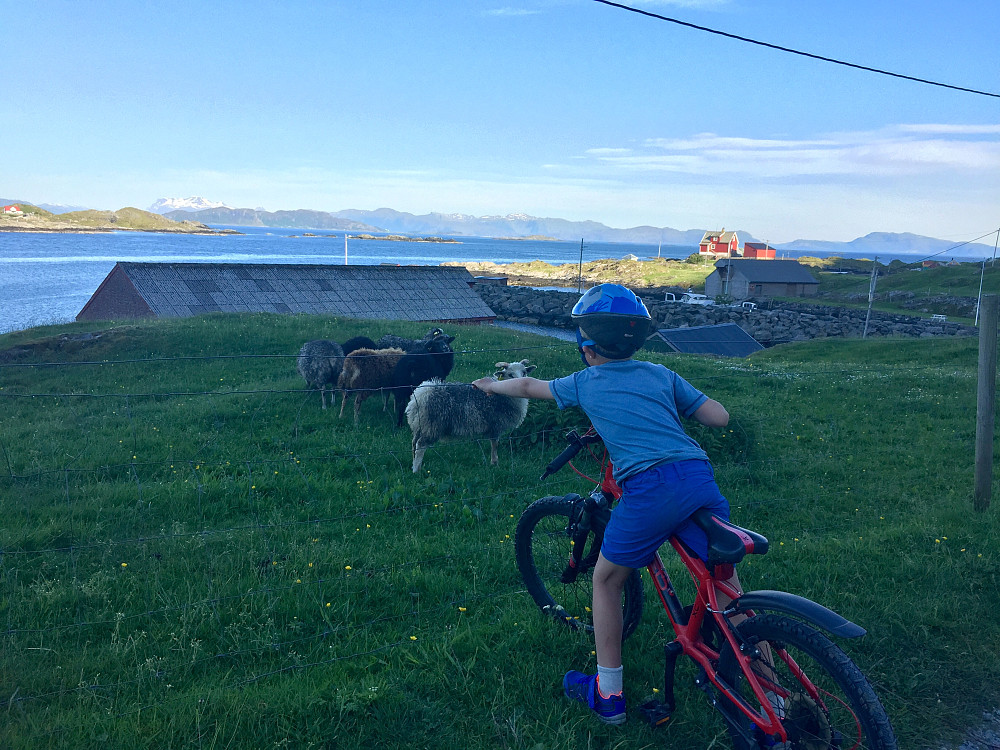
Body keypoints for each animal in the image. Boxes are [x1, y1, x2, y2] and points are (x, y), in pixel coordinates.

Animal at [406, 360, 536, 476]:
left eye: (524, 372)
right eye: (510, 374)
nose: (522, 381)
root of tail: (421, 395)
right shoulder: (495, 425)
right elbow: (495, 444)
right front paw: (495, 463)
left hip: (419, 424)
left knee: (414, 443)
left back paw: (414, 464)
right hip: (432, 425)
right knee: (420, 445)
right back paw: (416, 471)